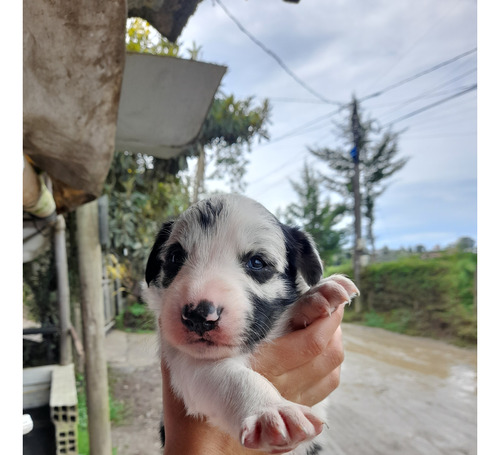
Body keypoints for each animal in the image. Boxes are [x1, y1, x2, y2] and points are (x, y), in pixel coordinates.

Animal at [143, 194, 358, 454]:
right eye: (175, 257)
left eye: (257, 262)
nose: (199, 316)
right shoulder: (188, 362)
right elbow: (230, 377)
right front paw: (270, 410)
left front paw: (316, 295)